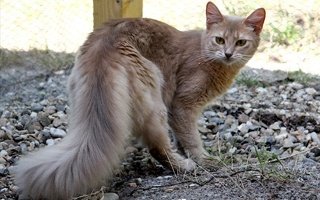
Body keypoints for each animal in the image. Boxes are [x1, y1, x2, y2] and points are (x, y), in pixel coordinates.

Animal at [14, 1, 264, 200]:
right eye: (219, 40)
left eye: (241, 42)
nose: (228, 54)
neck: (206, 53)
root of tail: (104, 44)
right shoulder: (182, 105)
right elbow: (192, 138)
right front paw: (202, 158)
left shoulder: (180, 113)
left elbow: (182, 136)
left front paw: (185, 151)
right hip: (156, 98)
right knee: (157, 147)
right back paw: (184, 166)